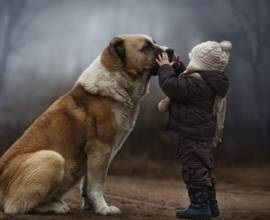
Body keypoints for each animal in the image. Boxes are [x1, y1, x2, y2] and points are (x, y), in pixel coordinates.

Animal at [0, 34, 169, 215]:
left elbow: (87, 184)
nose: (171, 51)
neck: (118, 80)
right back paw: (56, 206)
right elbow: (97, 185)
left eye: (154, 42)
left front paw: (91, 207)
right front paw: (103, 208)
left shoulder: (96, 155)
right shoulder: (101, 149)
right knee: (16, 206)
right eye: (146, 47)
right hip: (52, 158)